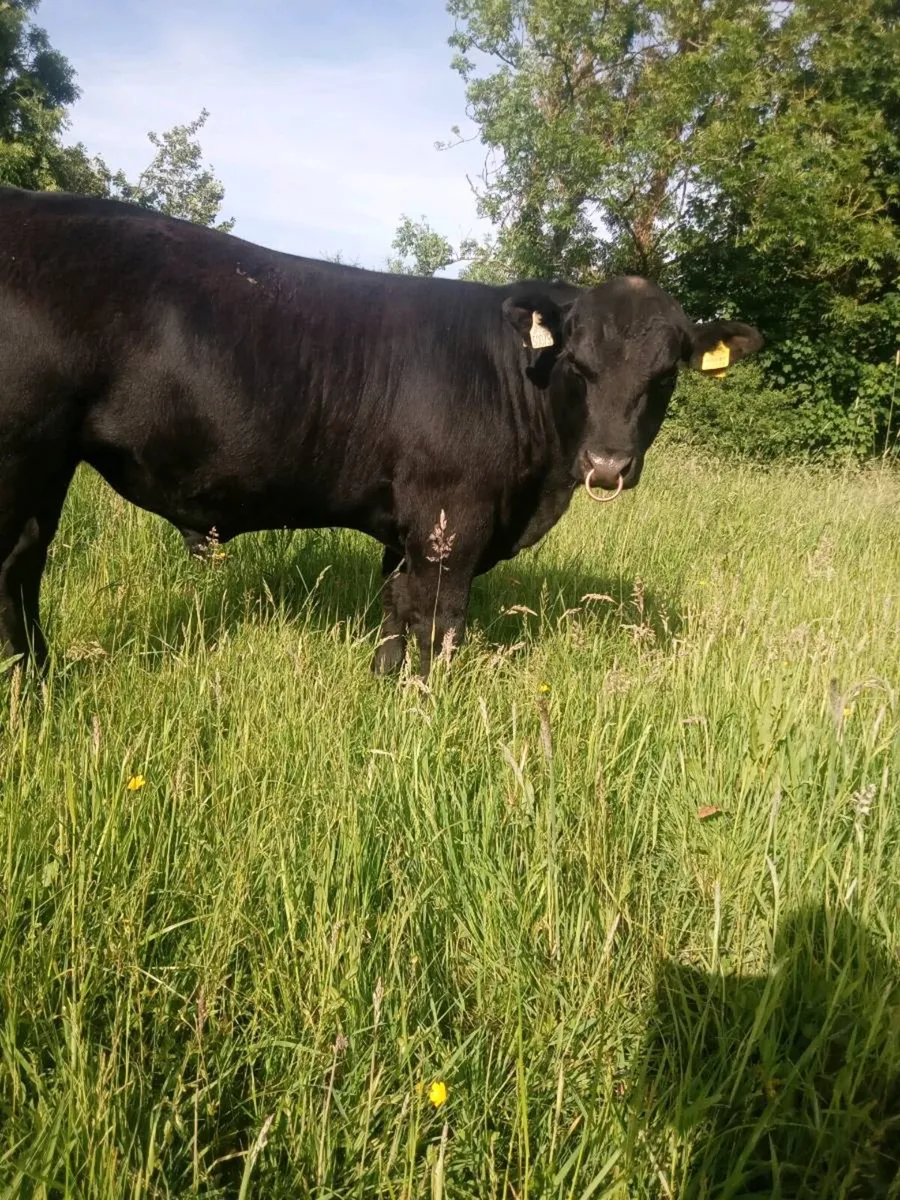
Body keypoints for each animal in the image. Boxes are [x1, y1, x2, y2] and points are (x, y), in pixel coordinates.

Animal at [0, 186, 763, 676]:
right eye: (578, 363)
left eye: (664, 374)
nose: (607, 464)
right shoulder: (451, 519)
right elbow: (439, 620)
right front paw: (429, 704)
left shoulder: (408, 525)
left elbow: (396, 609)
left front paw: (385, 682)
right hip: (23, 451)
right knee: (14, 564)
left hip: (48, 466)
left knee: (26, 564)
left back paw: (38, 679)